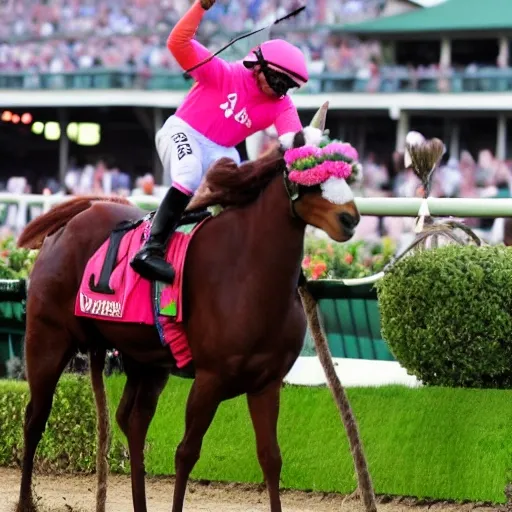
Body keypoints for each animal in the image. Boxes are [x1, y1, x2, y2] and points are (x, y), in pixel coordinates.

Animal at [16, 104, 360, 512]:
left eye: (345, 168)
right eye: (308, 168)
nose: (350, 218)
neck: (248, 269)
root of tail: (79, 214)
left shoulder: (267, 382)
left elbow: (270, 458)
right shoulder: (210, 379)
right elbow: (186, 453)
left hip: (146, 360)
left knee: (132, 420)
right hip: (47, 339)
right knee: (35, 418)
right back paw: (25, 500)